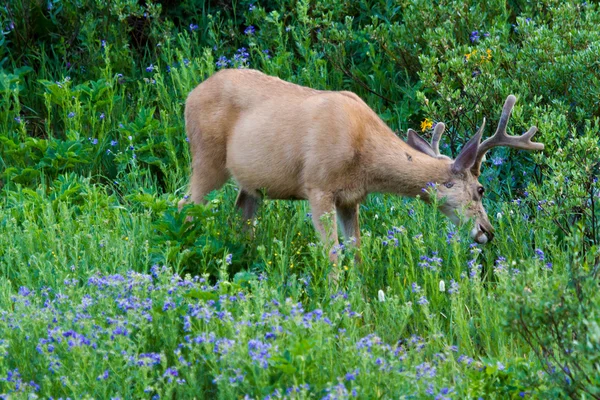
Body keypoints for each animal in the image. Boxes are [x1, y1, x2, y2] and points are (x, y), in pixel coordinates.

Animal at [179, 68, 544, 268]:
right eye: (481, 189)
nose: (488, 231)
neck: (363, 154)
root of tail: (190, 94)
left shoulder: (350, 198)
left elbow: (356, 253)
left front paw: (360, 295)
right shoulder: (318, 186)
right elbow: (332, 255)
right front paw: (337, 304)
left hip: (251, 183)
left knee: (242, 217)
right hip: (207, 157)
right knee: (185, 204)